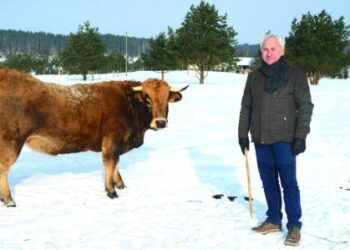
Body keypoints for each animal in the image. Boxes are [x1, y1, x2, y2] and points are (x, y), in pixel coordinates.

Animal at [0, 69, 189, 207]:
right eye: (148, 100)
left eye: (166, 101)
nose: (161, 122)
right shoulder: (111, 142)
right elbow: (110, 165)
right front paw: (111, 191)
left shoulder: (117, 145)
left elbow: (116, 165)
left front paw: (120, 184)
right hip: (11, 144)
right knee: (4, 168)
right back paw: (9, 200)